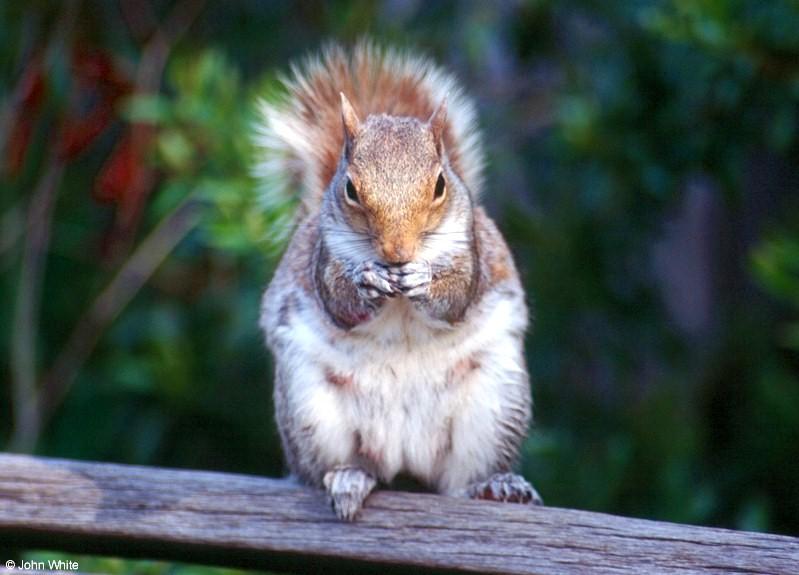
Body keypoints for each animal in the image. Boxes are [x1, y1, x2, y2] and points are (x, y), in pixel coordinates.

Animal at [256, 42, 544, 520]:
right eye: (351, 189)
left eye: (440, 184)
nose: (397, 253)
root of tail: (404, 454)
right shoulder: (323, 258)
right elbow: (338, 299)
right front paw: (367, 279)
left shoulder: (472, 253)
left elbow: (458, 295)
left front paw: (425, 278)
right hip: (310, 410)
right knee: (337, 467)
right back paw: (350, 478)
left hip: (494, 403)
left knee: (460, 481)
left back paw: (495, 485)